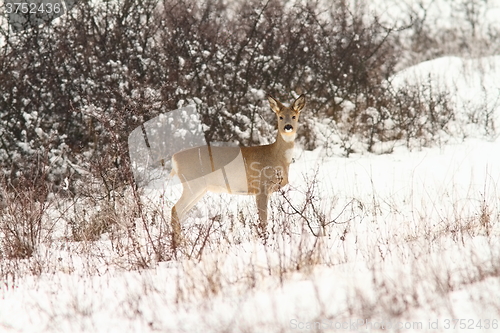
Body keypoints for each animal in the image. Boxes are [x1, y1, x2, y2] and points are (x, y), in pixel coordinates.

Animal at [170, 93, 306, 241]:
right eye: (280, 116)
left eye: (294, 116)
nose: (288, 127)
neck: (277, 156)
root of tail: (174, 159)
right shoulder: (261, 187)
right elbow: (263, 220)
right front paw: (264, 240)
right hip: (193, 185)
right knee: (175, 210)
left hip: (199, 188)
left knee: (179, 212)